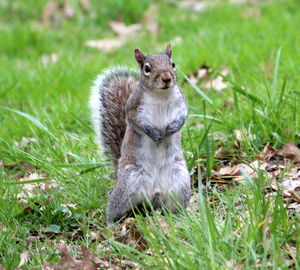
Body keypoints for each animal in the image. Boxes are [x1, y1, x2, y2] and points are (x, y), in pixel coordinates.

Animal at [90, 44, 191, 223]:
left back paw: (181, 216)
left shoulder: (182, 104)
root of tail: (155, 194)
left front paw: (174, 127)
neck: (161, 95)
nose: (166, 78)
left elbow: (183, 116)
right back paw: (111, 223)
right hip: (129, 183)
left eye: (172, 64)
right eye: (147, 68)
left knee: (173, 206)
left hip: (180, 182)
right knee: (114, 208)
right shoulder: (132, 107)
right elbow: (136, 122)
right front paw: (153, 133)